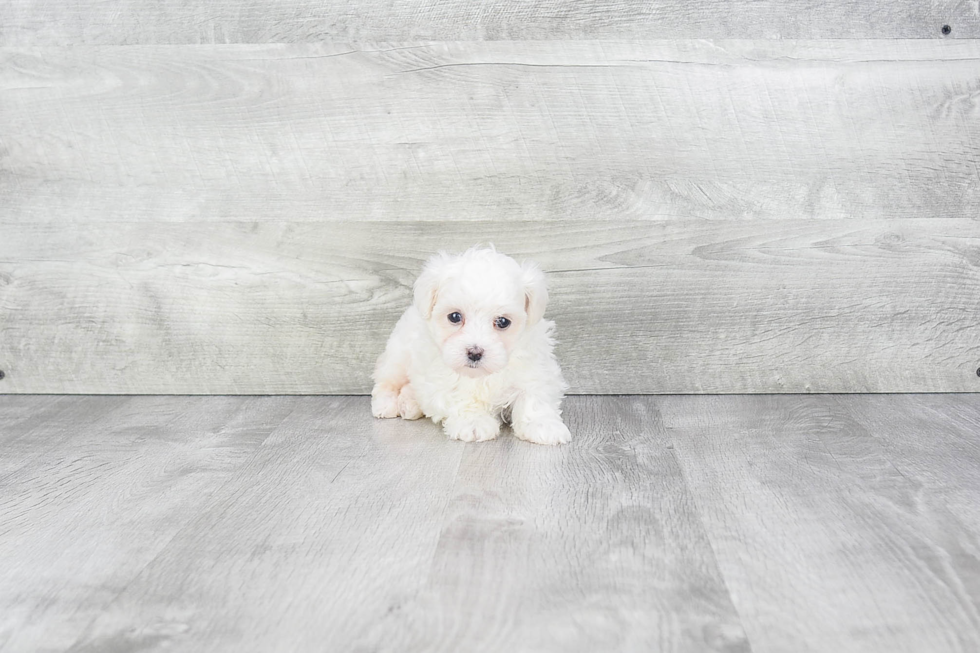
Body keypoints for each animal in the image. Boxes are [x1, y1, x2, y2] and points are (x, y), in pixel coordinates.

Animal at [372, 244, 572, 444]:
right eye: (454, 316)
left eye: (503, 322)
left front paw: (542, 425)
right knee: (387, 382)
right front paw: (473, 422)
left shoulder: (534, 366)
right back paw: (386, 404)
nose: (475, 353)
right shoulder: (441, 376)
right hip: (398, 356)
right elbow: (462, 395)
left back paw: (409, 404)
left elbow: (535, 393)